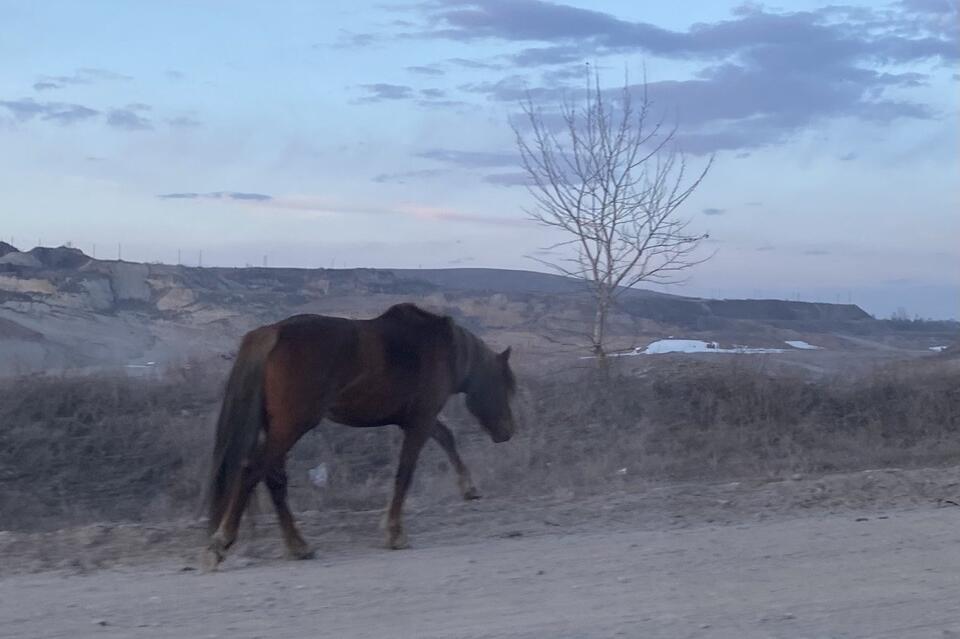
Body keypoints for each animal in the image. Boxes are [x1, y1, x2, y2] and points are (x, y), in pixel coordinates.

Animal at [203, 304, 516, 568]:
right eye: (505, 385)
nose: (508, 431)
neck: (445, 349)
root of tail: (272, 333)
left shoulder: (417, 419)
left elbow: (447, 437)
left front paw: (469, 487)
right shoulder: (420, 421)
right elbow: (405, 474)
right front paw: (394, 533)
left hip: (279, 428)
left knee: (273, 478)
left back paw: (298, 546)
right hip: (293, 426)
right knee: (252, 470)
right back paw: (221, 542)